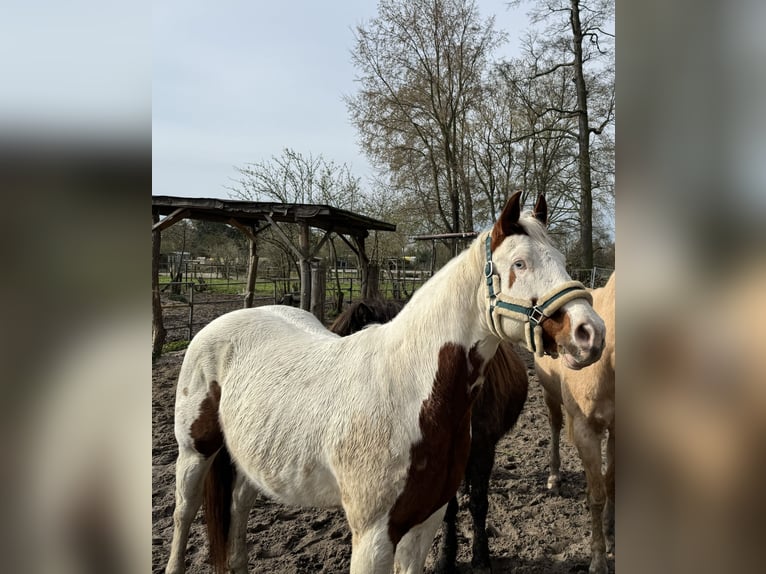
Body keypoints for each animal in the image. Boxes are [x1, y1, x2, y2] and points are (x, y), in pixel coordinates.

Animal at [536, 272, 620, 574]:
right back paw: (554, 477)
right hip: (550, 395)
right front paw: (598, 559)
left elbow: (610, 484)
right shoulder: (586, 431)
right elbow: (596, 494)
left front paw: (610, 532)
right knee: (555, 426)